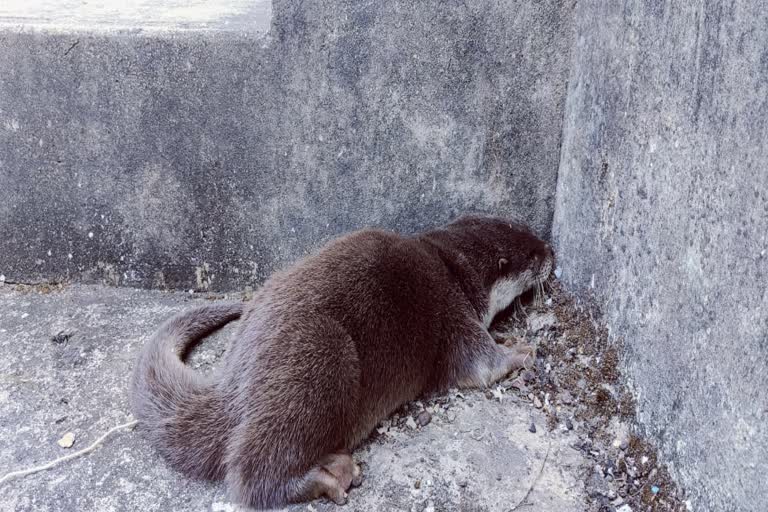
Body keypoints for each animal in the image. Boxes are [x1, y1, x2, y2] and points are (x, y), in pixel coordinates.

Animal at [130, 215, 552, 508]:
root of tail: (231, 386)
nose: (550, 249)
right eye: (532, 255)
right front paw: (522, 351)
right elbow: (482, 365)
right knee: (250, 475)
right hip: (322, 354)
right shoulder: (453, 314)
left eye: (525, 228)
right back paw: (329, 476)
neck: (450, 265)